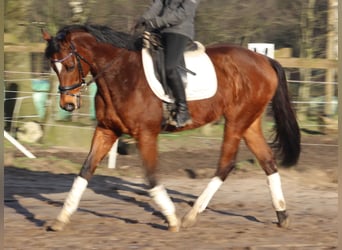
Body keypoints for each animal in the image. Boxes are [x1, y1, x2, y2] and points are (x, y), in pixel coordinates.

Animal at [42, 24, 300, 231]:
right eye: (54, 67)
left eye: (69, 65)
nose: (67, 104)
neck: (120, 75)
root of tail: (264, 59)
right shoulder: (107, 130)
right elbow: (85, 170)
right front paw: (61, 219)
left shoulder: (145, 134)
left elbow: (151, 178)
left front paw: (172, 219)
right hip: (250, 122)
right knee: (267, 161)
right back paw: (282, 215)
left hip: (236, 120)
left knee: (226, 165)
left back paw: (190, 216)